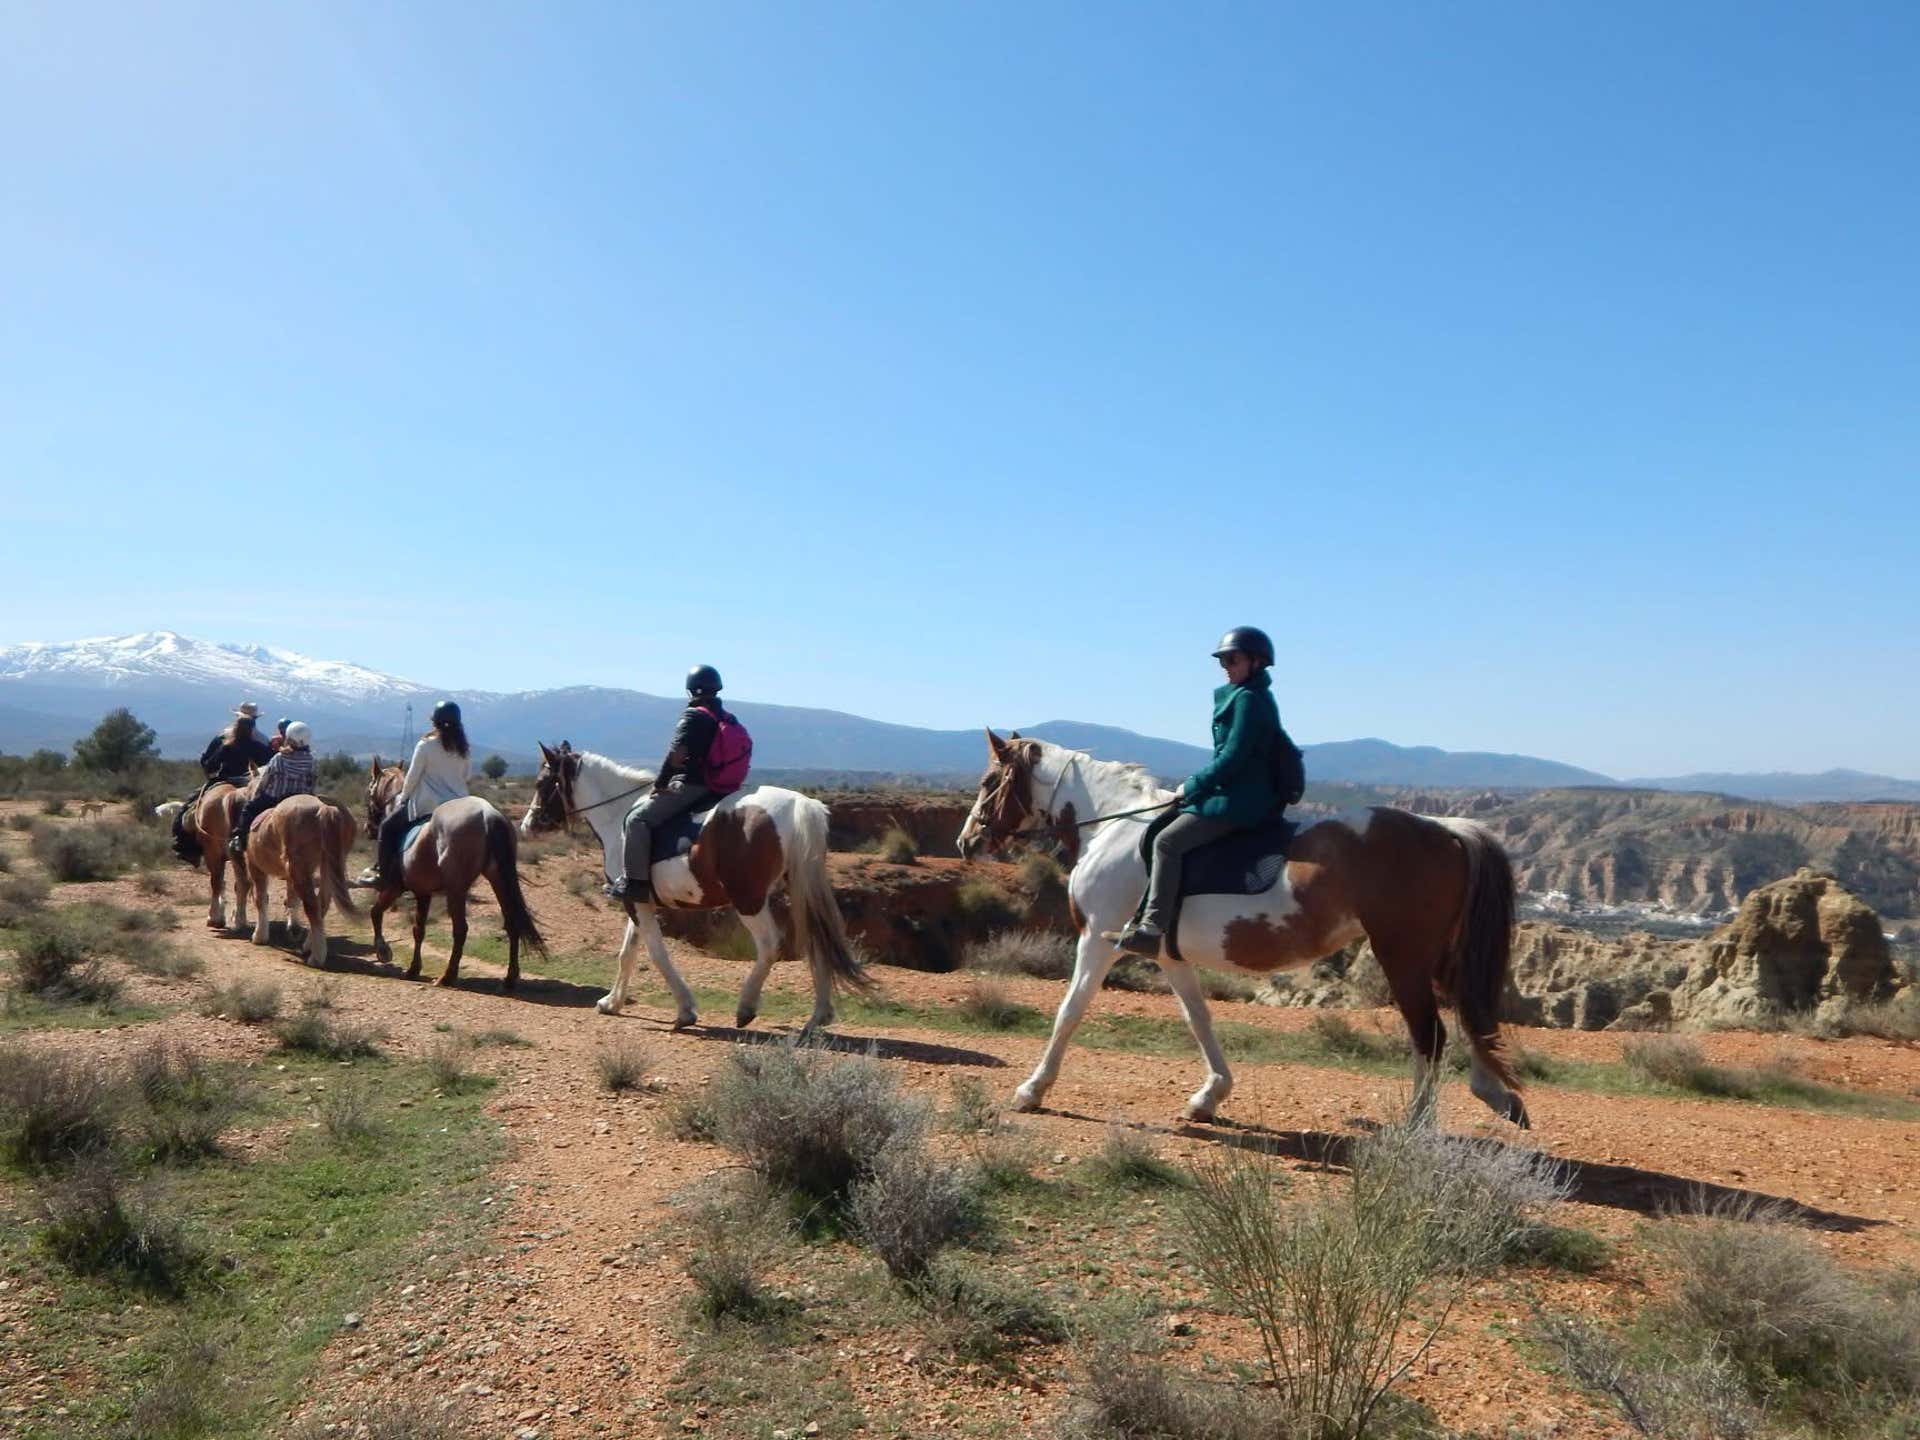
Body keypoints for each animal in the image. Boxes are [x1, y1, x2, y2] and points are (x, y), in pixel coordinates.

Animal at [242, 795, 359, 967]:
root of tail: (325, 808)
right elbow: (292, 900)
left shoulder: (255, 867)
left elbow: (261, 899)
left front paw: (259, 936)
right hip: (327, 866)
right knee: (321, 905)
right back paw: (309, 946)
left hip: (299, 867)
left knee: (312, 907)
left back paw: (316, 957)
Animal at [364, 759, 546, 990]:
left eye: (369, 791)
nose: (368, 829)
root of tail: (488, 815)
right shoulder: (423, 892)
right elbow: (418, 929)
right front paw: (413, 969)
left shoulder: (395, 886)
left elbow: (375, 912)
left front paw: (383, 951)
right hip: (498, 880)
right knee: (512, 924)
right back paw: (509, 979)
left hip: (456, 889)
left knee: (460, 929)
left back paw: (447, 977)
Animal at [519, 742, 866, 1032]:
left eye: (541, 783)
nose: (527, 825)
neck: (619, 816)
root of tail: (801, 805)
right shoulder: (639, 900)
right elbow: (627, 952)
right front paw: (611, 1002)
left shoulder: (636, 902)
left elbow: (656, 954)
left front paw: (685, 1010)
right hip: (798, 889)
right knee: (816, 940)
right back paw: (819, 1016)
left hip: (749, 900)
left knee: (770, 945)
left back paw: (746, 1007)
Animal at [956, 730, 1530, 1129]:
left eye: (988, 783)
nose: (966, 842)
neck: (1116, 825)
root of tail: (1447, 829)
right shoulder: (1168, 955)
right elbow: (1199, 1019)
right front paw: (1209, 1096)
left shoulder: (1097, 940)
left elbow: (1069, 1012)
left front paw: (1033, 1090)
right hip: (1437, 956)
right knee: (1470, 1016)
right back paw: (1497, 1095)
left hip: (1403, 955)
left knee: (1429, 1035)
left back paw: (1416, 1128)